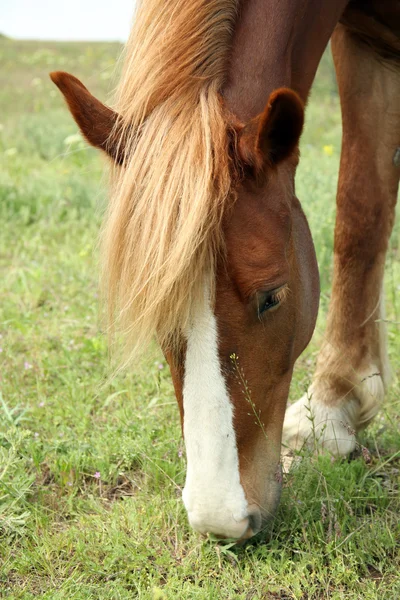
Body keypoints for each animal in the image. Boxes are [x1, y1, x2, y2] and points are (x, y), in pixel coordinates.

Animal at [50, 0, 400, 540]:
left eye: (273, 296)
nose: (221, 518)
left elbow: (360, 210)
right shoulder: (366, 45)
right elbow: (363, 209)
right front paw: (334, 403)